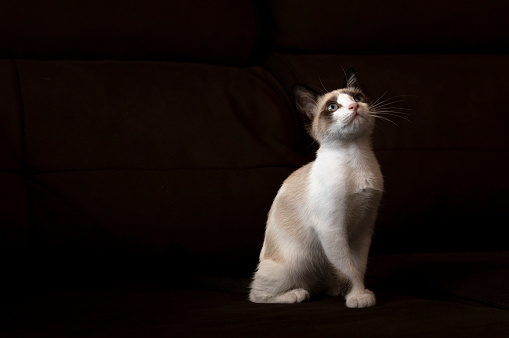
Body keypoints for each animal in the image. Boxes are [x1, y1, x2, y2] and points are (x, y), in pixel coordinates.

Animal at [248, 67, 382, 308]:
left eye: (357, 98)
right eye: (332, 107)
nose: (354, 107)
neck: (356, 155)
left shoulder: (363, 227)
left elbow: (358, 267)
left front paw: (356, 293)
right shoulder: (332, 229)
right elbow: (349, 269)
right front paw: (358, 296)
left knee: (322, 282)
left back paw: (332, 289)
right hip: (294, 264)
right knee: (257, 295)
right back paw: (297, 294)